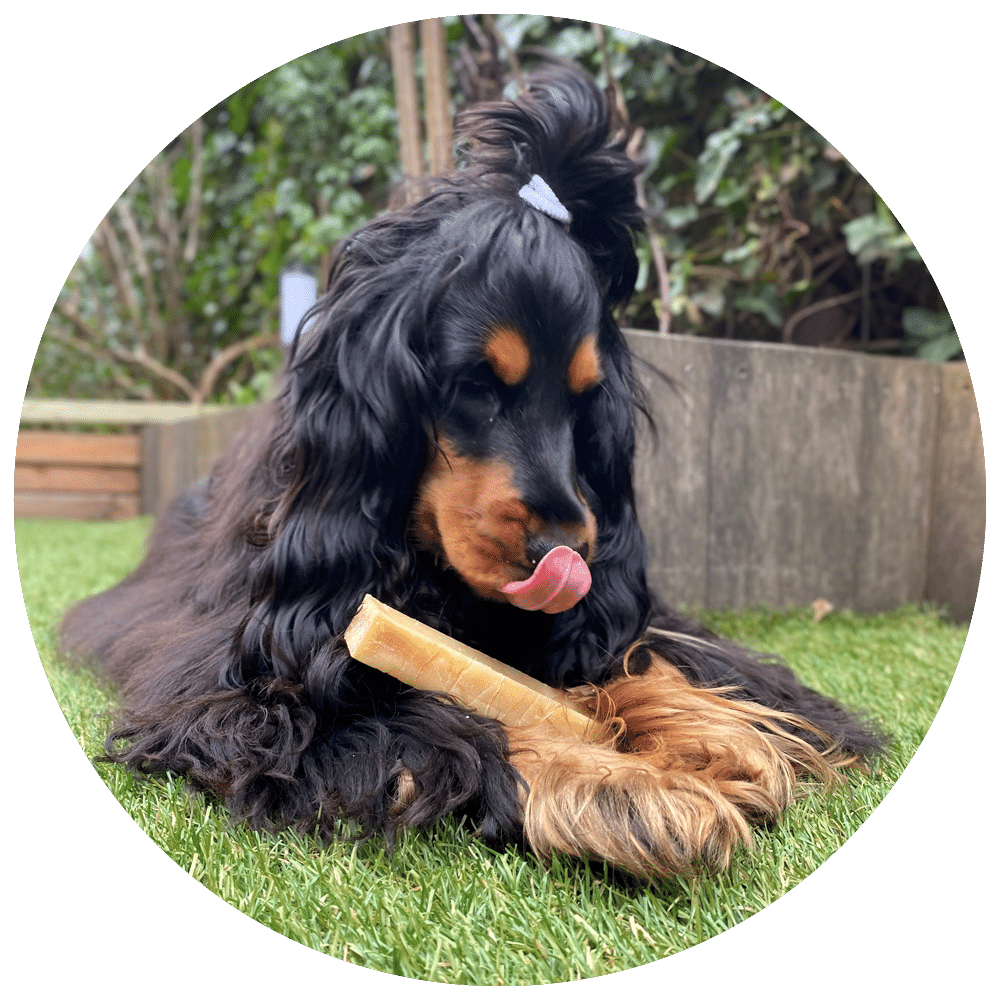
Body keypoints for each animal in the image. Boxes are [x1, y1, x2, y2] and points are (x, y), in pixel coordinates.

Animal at [62, 68, 885, 880]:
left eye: (585, 402)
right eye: (476, 386)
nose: (566, 552)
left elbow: (633, 655)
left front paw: (712, 735)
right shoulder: (240, 692)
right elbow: (449, 707)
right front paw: (620, 785)